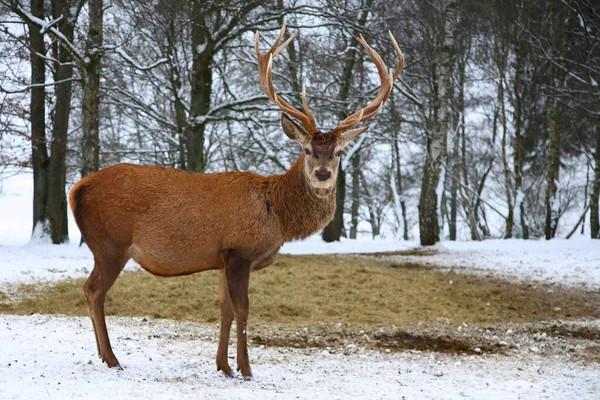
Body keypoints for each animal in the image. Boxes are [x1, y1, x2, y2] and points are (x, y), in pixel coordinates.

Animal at [68, 23, 400, 380]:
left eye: (338, 152)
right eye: (308, 150)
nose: (323, 174)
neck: (277, 215)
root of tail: (77, 188)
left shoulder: (222, 257)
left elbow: (224, 309)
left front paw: (223, 366)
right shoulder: (240, 250)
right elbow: (243, 309)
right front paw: (246, 368)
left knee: (91, 290)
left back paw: (103, 356)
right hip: (110, 242)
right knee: (94, 290)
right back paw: (111, 357)